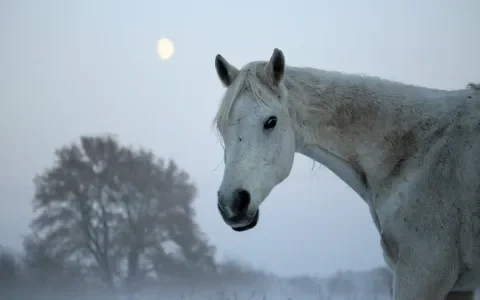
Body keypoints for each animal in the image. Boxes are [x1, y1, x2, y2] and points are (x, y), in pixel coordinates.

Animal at [213, 48, 480, 298]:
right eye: (221, 127)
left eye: (271, 121)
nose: (232, 204)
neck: (415, 150)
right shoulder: (457, 287)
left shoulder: (422, 275)